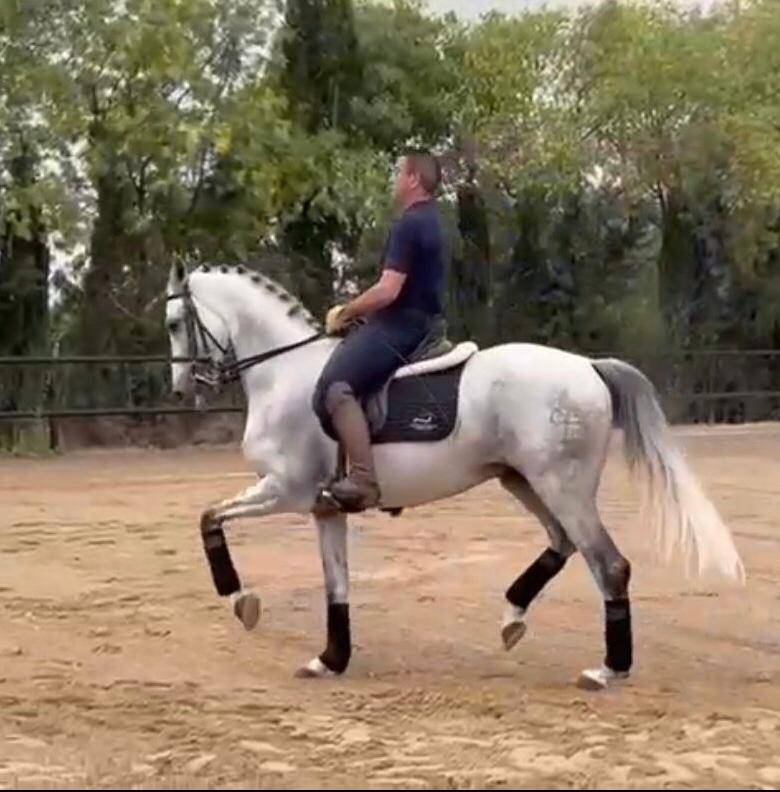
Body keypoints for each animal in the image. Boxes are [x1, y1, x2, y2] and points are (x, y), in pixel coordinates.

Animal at [164, 261, 744, 690]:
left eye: (173, 324)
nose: (181, 389)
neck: (283, 375)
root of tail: (587, 366)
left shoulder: (285, 490)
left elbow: (208, 518)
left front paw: (239, 599)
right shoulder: (324, 507)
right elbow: (336, 584)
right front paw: (330, 658)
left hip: (563, 486)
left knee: (609, 565)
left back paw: (608, 670)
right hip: (523, 480)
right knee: (562, 543)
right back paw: (513, 615)